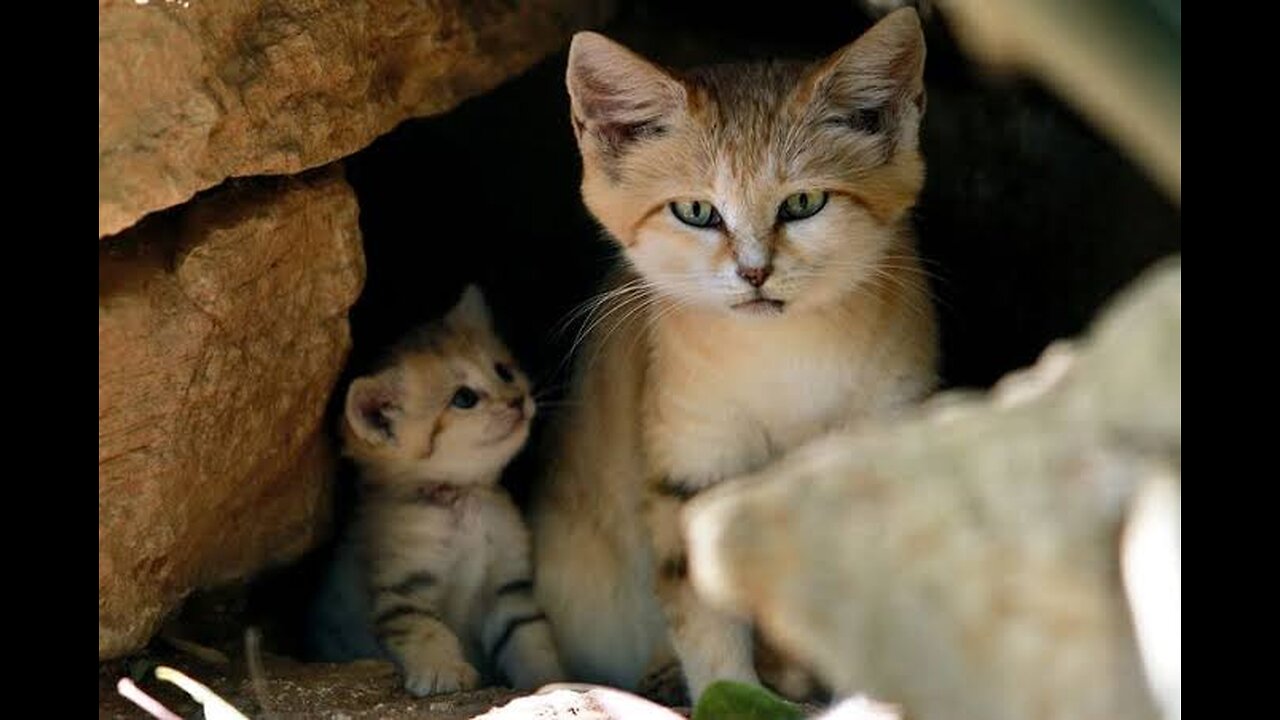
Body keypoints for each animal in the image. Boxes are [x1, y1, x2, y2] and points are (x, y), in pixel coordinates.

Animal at [308, 284, 560, 696]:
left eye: (503, 371)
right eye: (464, 398)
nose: (518, 400)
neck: (462, 499)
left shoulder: (508, 592)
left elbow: (531, 640)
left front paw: (551, 680)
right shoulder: (403, 591)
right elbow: (426, 631)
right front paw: (443, 670)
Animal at [529, 5, 942, 696]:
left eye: (803, 203)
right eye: (697, 211)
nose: (754, 272)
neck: (784, 358)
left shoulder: (886, 430)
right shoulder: (693, 464)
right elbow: (704, 609)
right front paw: (733, 690)